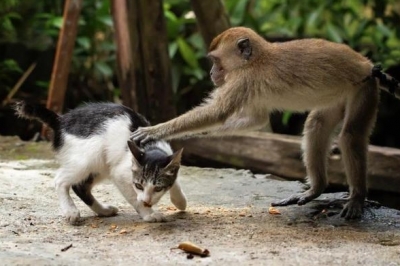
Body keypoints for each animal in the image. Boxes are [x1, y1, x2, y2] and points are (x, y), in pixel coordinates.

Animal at [14, 102, 186, 224]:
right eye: (138, 185)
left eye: (158, 188)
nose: (147, 201)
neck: (150, 146)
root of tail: (61, 121)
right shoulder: (120, 173)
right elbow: (133, 197)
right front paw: (149, 214)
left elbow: (175, 180)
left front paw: (180, 201)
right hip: (90, 155)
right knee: (60, 180)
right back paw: (70, 211)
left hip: (102, 165)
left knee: (80, 187)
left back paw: (103, 210)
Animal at [134, 26, 400, 220]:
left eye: (216, 61)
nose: (211, 73)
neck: (254, 59)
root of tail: (365, 64)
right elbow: (256, 119)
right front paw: (198, 136)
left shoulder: (243, 79)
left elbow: (217, 113)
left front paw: (157, 130)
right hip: (341, 94)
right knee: (316, 126)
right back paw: (317, 188)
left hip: (363, 88)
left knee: (351, 136)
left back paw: (357, 197)